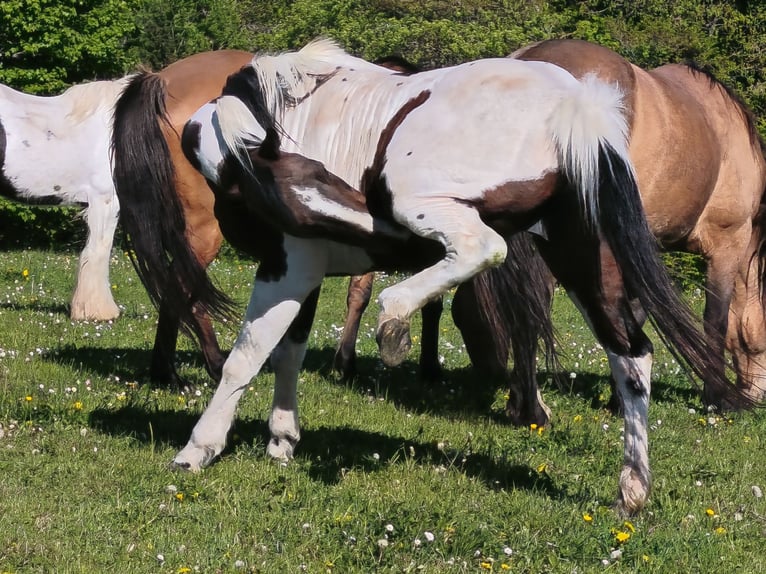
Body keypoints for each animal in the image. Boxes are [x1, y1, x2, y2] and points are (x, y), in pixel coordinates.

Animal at [171, 39, 756, 515]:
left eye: (284, 166)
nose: (364, 220)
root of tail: (577, 108)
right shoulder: (303, 267)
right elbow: (286, 352)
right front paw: (281, 440)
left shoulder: (288, 263)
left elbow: (248, 355)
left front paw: (199, 448)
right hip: (583, 262)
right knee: (632, 358)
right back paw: (632, 489)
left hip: (423, 200)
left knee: (483, 248)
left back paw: (394, 321)